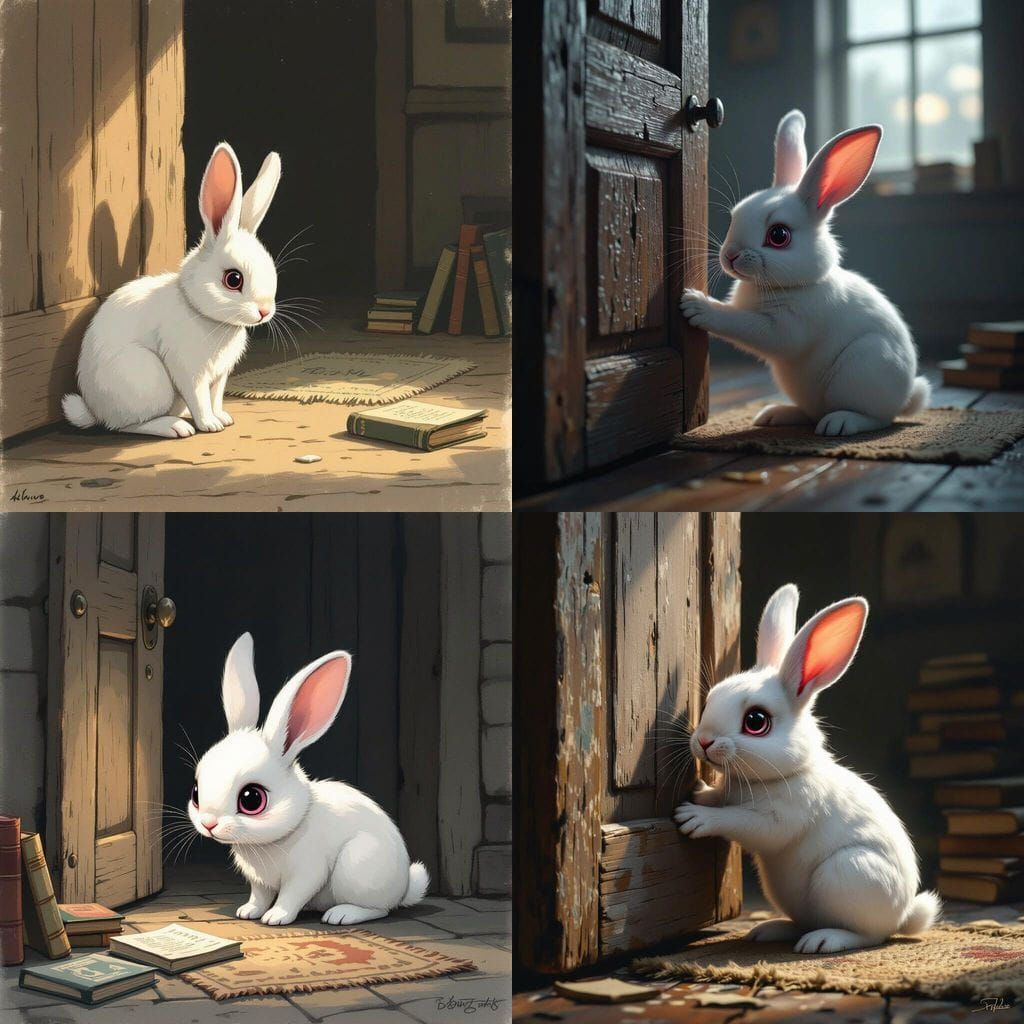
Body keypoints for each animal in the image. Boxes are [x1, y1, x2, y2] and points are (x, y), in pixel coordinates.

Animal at [62, 142, 281, 438]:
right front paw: (210, 425)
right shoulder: (189, 370)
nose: (264, 311)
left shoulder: (219, 375)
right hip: (147, 380)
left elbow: (215, 397)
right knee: (126, 425)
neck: (204, 314)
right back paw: (176, 427)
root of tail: (94, 409)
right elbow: (199, 398)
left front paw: (223, 418)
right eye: (233, 279)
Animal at [187, 633, 430, 926]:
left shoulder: (307, 873)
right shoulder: (259, 882)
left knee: (379, 909)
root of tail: (404, 887)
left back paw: (340, 914)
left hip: (357, 869)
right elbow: (259, 896)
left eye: (252, 799)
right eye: (196, 792)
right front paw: (248, 912)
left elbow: (291, 896)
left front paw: (275, 918)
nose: (208, 824)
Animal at [673, 583, 940, 954]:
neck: (780, 775)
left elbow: (740, 821)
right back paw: (770, 930)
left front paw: (694, 817)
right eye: (712, 697)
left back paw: (822, 941)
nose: (703, 741)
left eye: (756, 721)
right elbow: (721, 799)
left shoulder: (780, 818)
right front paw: (700, 791)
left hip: (847, 873)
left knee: (869, 935)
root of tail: (903, 914)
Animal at [680, 109, 930, 437]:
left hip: (864, 367)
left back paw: (840, 423)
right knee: (812, 414)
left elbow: (742, 324)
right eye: (735, 216)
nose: (730, 256)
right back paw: (774, 414)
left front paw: (695, 305)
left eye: (779, 235)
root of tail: (907, 395)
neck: (794, 284)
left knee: (878, 418)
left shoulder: (785, 328)